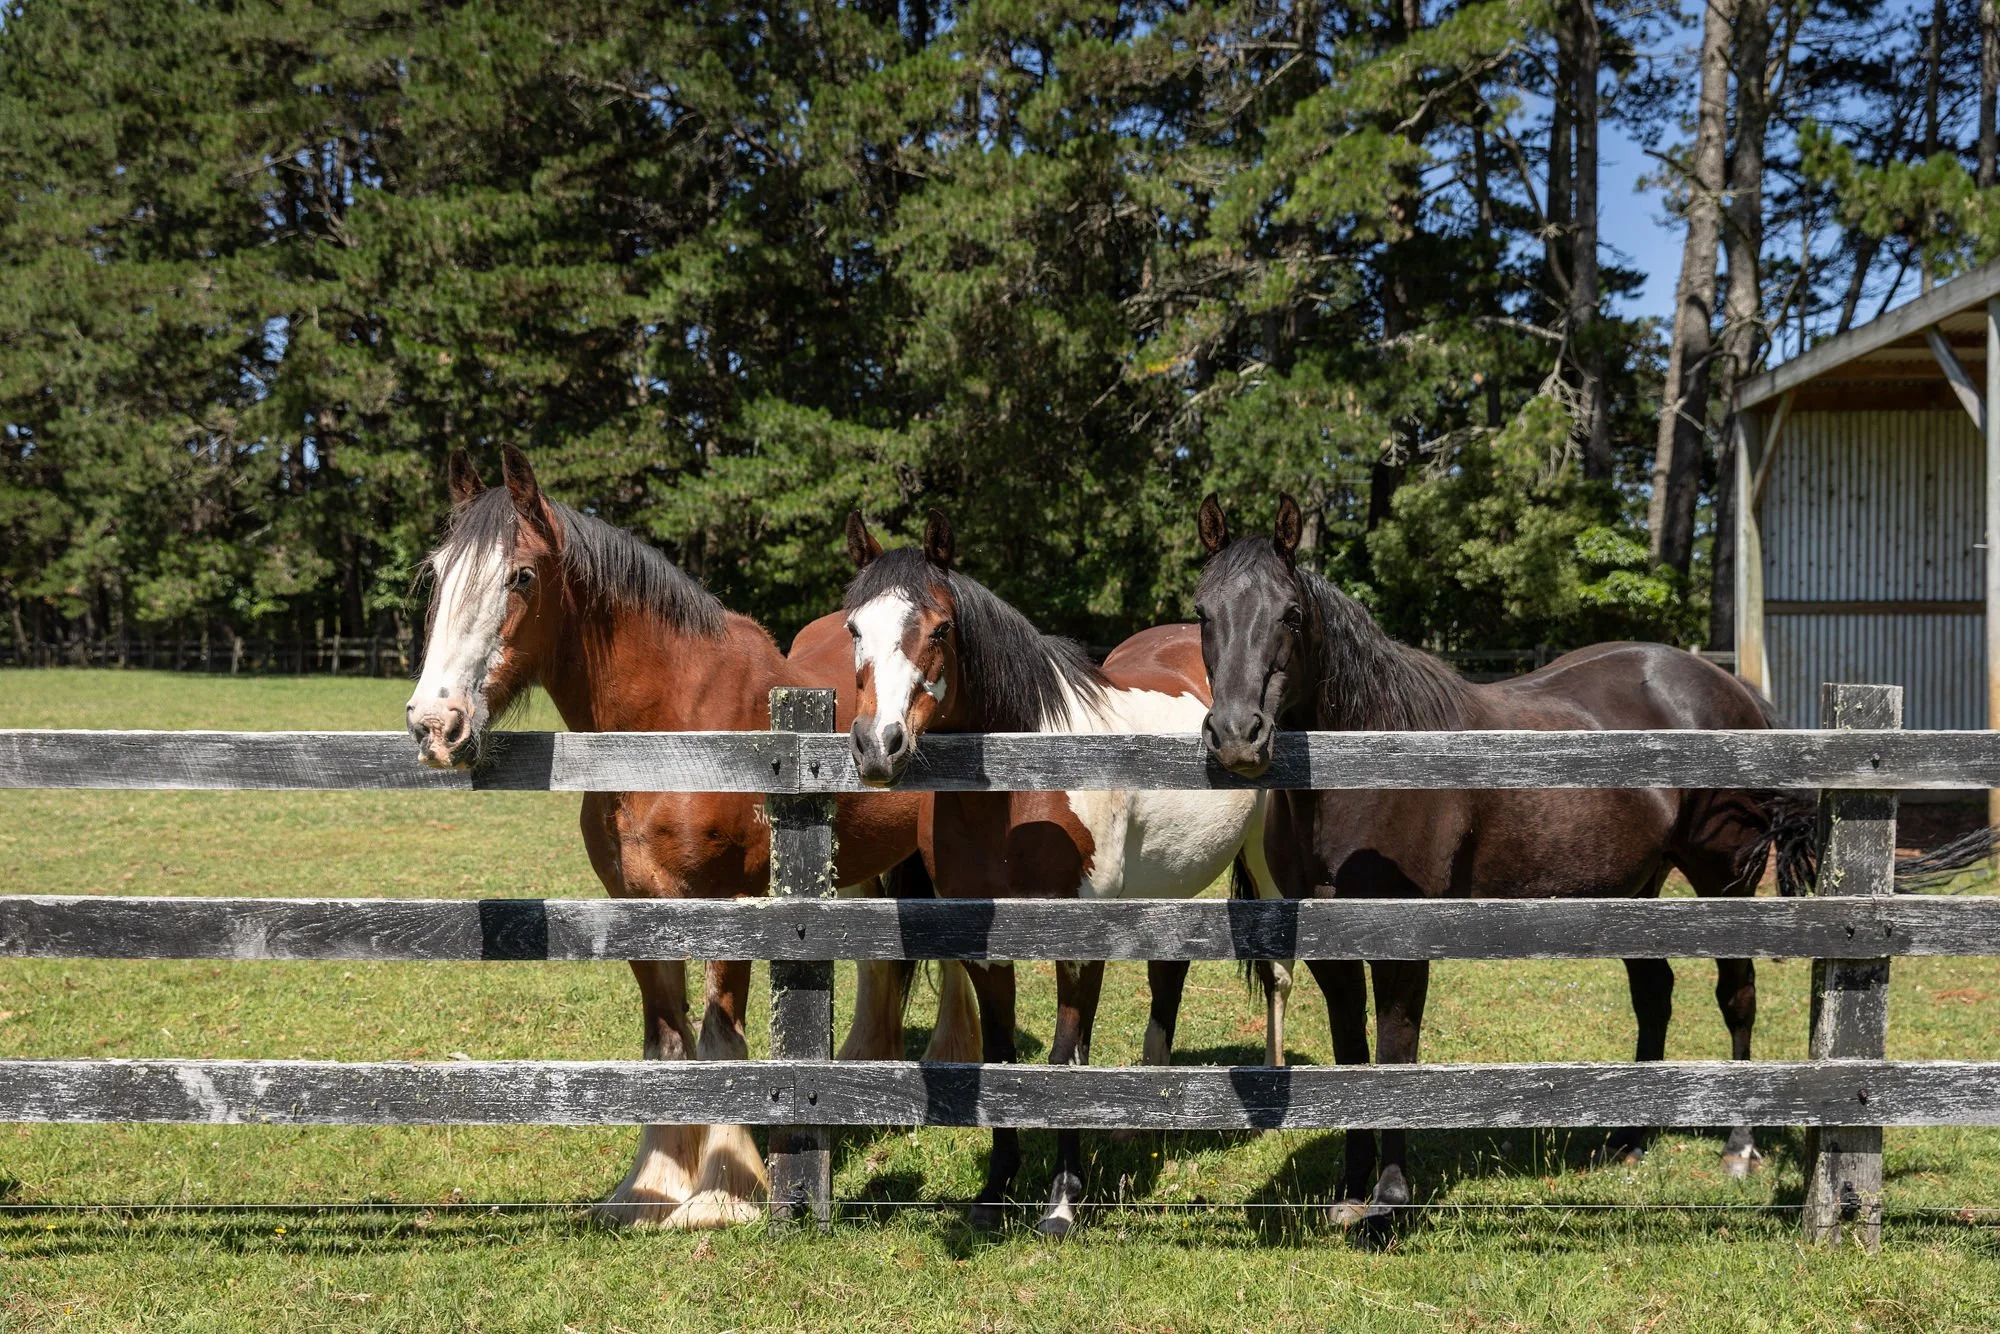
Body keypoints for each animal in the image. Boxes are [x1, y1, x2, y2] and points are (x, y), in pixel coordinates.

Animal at [403, 445, 979, 1228]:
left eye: (520, 575)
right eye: (438, 574)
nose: (437, 725)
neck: (673, 731)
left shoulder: (730, 901)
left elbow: (718, 1038)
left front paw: (721, 1194)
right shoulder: (640, 905)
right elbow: (667, 1039)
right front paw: (649, 1189)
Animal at [840, 507, 1293, 1236]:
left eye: (939, 628)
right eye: (855, 628)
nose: (878, 747)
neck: (1024, 792)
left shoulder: (1078, 940)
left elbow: (1065, 1056)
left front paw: (1060, 1200)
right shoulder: (984, 944)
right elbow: (1000, 1056)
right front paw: (995, 1192)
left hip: (1263, 862)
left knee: (1276, 973)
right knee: (1169, 976)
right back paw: (1141, 1126)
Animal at [1190, 492, 1820, 1236]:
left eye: (1290, 613)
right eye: (1202, 611)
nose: (1237, 738)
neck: (1369, 770)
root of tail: (1730, 687)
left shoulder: (1402, 944)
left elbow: (1396, 1051)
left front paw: (1391, 1202)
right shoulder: (1329, 948)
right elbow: (1353, 1055)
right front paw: (1350, 1189)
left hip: (1725, 878)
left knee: (1737, 995)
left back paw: (1738, 1146)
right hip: (1634, 884)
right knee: (1655, 993)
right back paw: (1628, 1141)